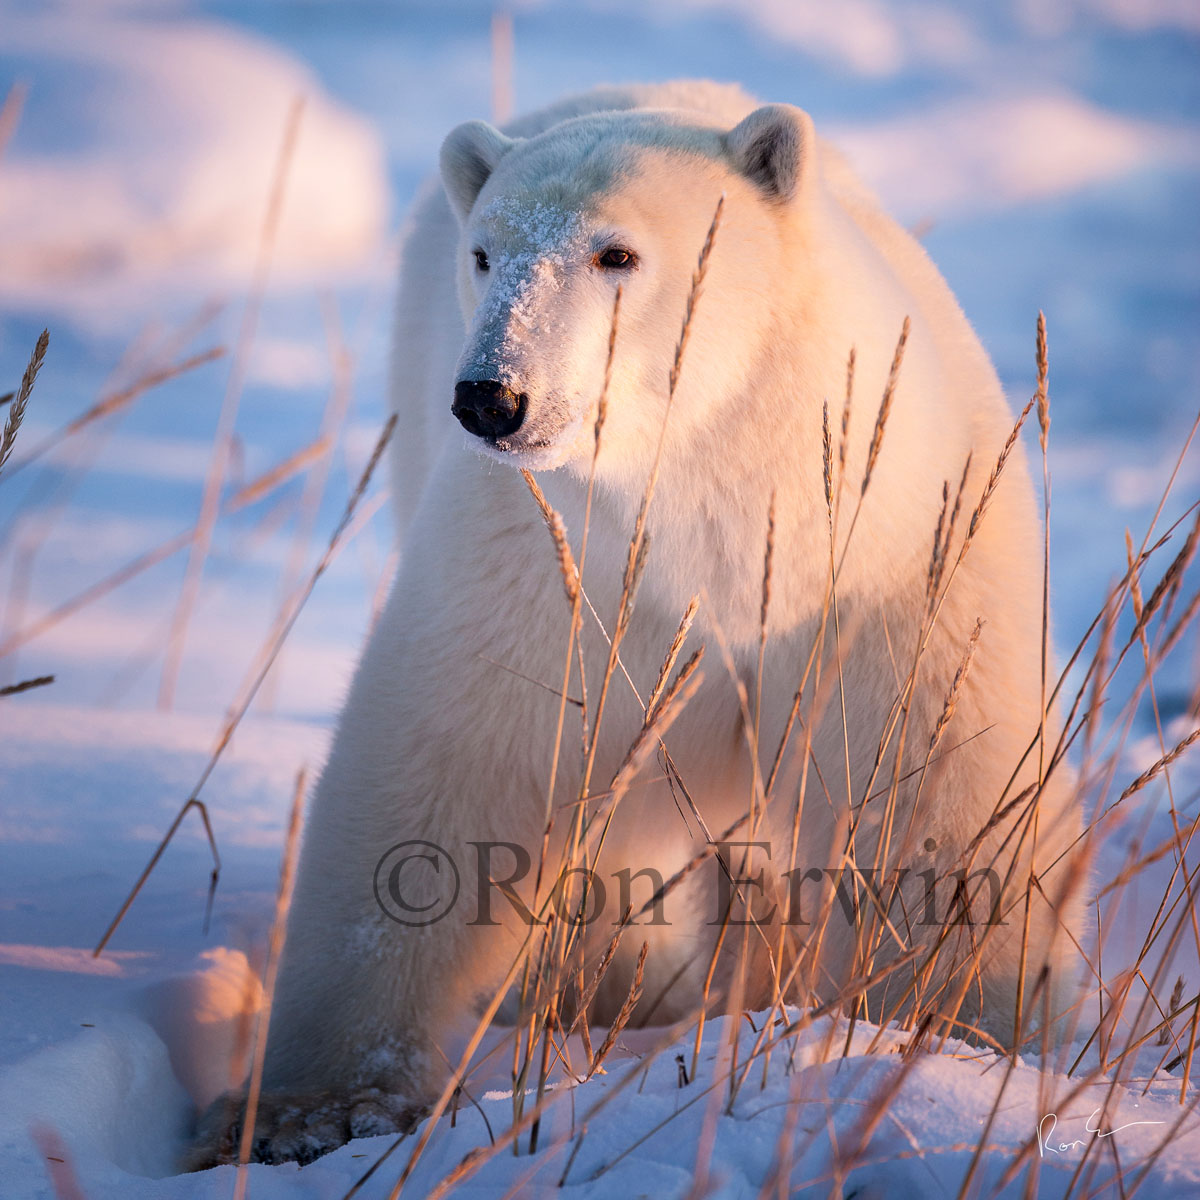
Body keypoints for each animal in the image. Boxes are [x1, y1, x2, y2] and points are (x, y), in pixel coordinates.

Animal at [188, 80, 1085, 1168]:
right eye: (485, 252)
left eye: (616, 254)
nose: (492, 396)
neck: (719, 494)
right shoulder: (547, 566)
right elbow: (443, 777)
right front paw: (310, 1114)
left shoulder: (888, 564)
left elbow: (938, 808)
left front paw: (954, 1046)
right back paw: (615, 985)